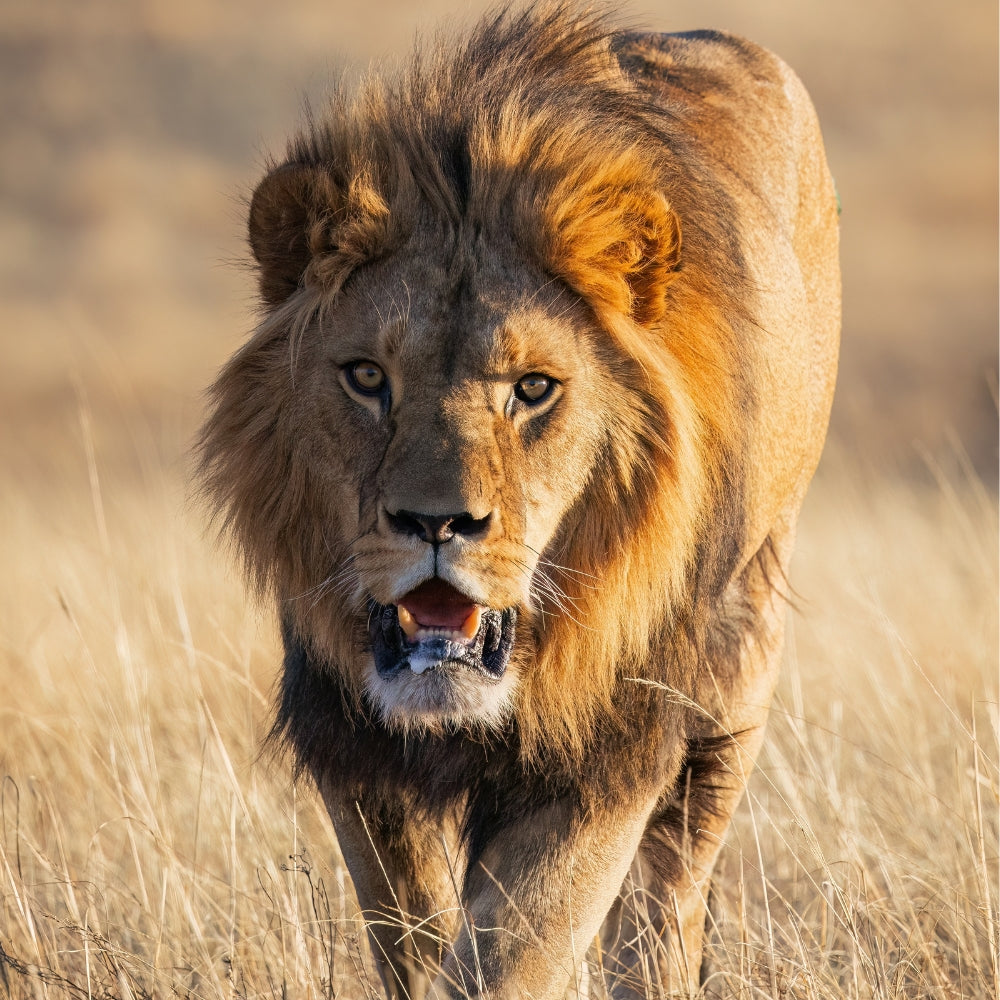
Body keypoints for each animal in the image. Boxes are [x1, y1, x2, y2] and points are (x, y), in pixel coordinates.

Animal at [199, 4, 839, 998]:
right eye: (366, 377)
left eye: (533, 389)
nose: (436, 523)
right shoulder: (357, 748)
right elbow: (416, 939)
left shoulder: (607, 748)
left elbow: (511, 949)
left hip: (738, 661)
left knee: (666, 904)